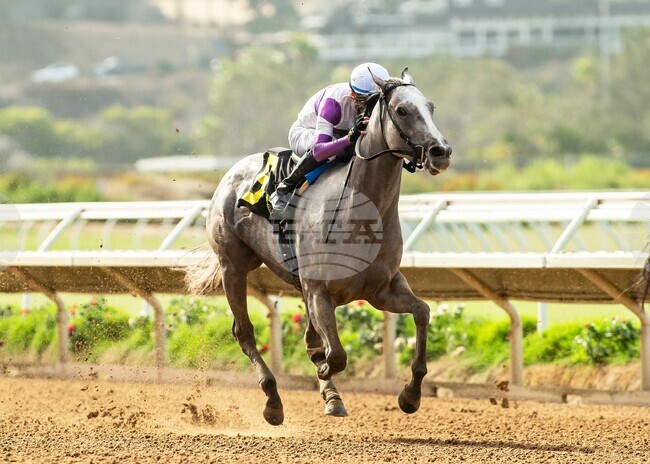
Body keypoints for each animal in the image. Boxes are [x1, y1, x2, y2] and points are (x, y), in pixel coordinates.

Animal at [186, 68, 452, 425]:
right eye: (402, 110)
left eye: (430, 107)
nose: (441, 152)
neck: (360, 212)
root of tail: (232, 173)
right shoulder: (319, 292)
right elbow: (336, 354)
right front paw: (324, 369)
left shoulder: (381, 289)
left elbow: (422, 312)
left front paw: (410, 395)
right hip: (233, 266)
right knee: (244, 332)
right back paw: (273, 400)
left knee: (307, 336)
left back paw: (330, 396)